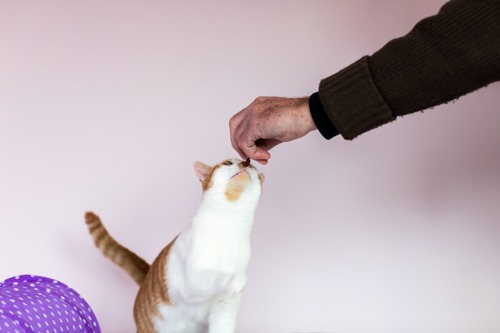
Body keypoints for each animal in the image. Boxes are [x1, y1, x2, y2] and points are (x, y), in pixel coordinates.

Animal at [85, 158, 266, 332]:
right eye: (228, 163)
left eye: (253, 167)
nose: (246, 162)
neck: (228, 226)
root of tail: (146, 277)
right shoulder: (193, 281)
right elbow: (216, 276)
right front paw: (238, 280)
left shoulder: (224, 309)